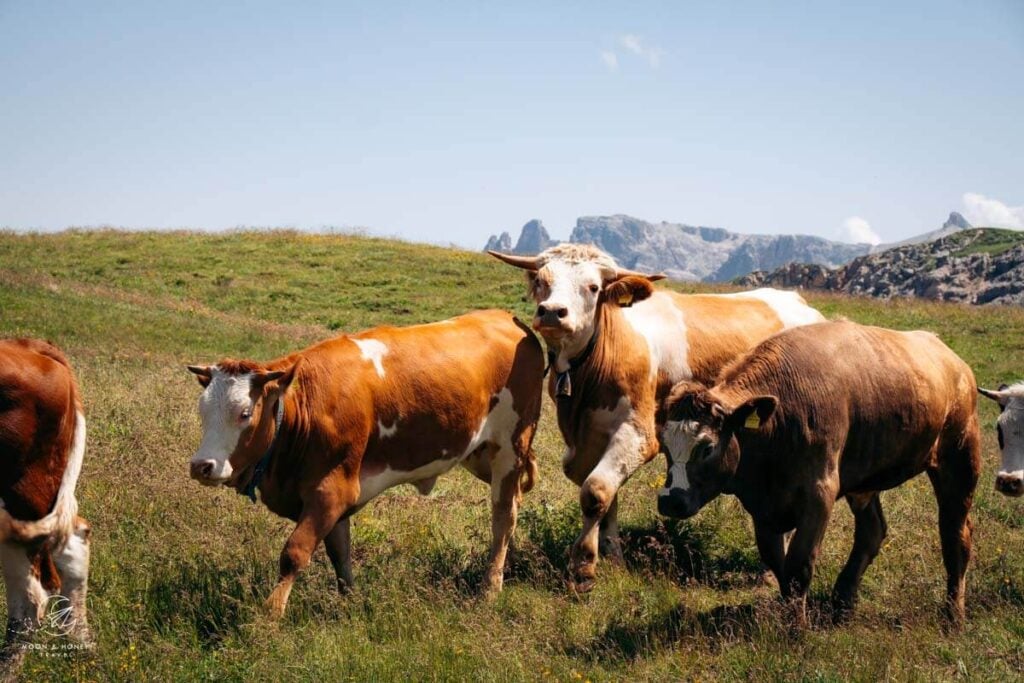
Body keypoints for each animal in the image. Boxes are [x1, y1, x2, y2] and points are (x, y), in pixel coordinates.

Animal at [186, 309, 543, 618]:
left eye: (245, 413)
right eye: (202, 411)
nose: (201, 466)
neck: (306, 405)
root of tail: (507, 319)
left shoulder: (330, 490)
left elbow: (294, 553)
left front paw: (270, 614)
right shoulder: (336, 495)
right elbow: (339, 552)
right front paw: (349, 602)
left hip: (511, 447)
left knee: (503, 515)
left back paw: (490, 587)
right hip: (480, 453)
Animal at [489, 244, 824, 591]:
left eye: (593, 287)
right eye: (542, 281)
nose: (553, 312)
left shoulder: (639, 433)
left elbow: (595, 491)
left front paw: (583, 568)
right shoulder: (588, 440)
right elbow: (606, 496)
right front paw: (613, 560)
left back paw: (770, 576)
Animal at [658, 320, 981, 626]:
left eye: (707, 447)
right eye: (665, 444)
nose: (671, 501)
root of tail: (951, 359)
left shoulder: (818, 494)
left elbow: (799, 565)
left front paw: (797, 630)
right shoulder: (764, 507)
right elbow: (779, 564)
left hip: (960, 461)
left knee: (955, 536)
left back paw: (954, 616)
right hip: (865, 480)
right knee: (872, 532)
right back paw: (843, 604)